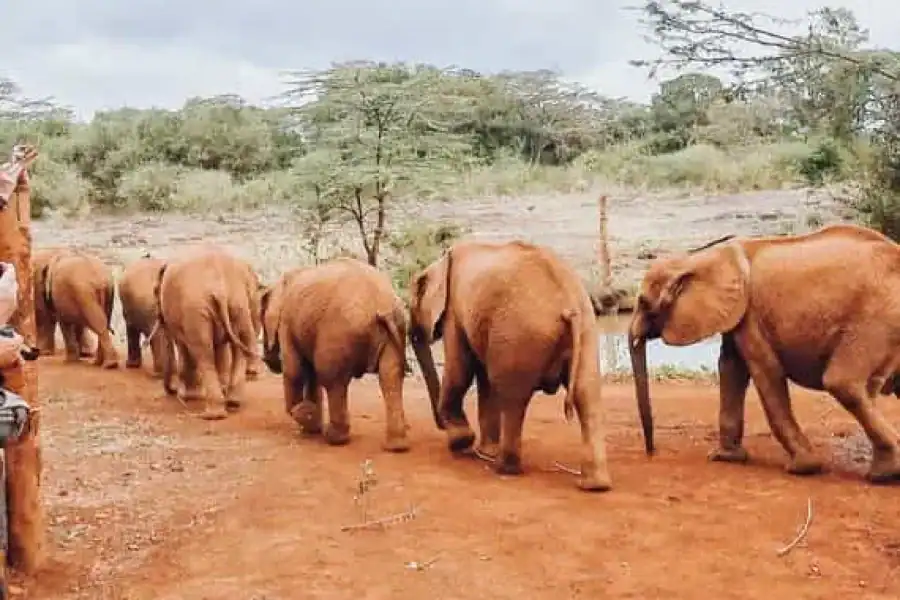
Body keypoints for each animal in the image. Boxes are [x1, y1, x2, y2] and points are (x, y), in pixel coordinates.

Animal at [147, 247, 260, 420]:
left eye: (154, 291)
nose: (172, 391)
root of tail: (220, 288)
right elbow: (219, 346)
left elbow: (185, 346)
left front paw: (188, 397)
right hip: (239, 303)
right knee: (240, 343)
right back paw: (233, 402)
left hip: (196, 310)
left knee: (203, 352)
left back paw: (212, 415)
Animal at [260, 257, 411, 451]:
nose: (266, 359)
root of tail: (380, 303)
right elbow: (310, 374)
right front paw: (311, 425)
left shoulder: (286, 321)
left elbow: (295, 371)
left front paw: (306, 414)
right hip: (397, 328)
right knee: (390, 376)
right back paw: (396, 447)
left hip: (339, 332)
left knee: (332, 379)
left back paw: (333, 437)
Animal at [409, 240, 612, 492]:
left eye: (410, 306)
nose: (440, 425)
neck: (439, 263)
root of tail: (568, 303)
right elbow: (483, 379)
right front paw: (480, 449)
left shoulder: (454, 311)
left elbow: (460, 371)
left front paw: (461, 444)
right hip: (586, 328)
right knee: (587, 395)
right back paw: (594, 485)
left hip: (520, 335)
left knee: (514, 398)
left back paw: (503, 468)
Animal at [627, 223, 900, 483]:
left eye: (643, 302)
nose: (652, 453)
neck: (697, 257)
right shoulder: (738, 314)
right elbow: (731, 368)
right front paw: (725, 458)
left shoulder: (750, 315)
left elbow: (765, 369)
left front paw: (803, 469)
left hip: (876, 318)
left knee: (843, 383)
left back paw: (883, 475)